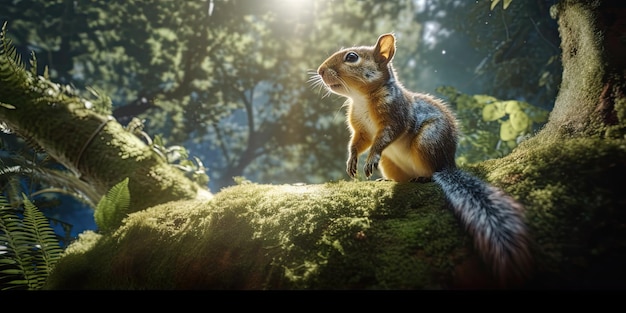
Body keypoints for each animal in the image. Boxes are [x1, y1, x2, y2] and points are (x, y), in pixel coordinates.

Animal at [314, 33, 528, 286]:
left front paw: (370, 158)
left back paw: (424, 178)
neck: (361, 98)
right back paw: (389, 181)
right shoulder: (360, 129)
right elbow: (357, 143)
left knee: (432, 171)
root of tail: (448, 163)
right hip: (392, 163)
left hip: (428, 142)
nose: (320, 70)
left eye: (351, 57)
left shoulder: (395, 116)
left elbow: (383, 140)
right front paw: (352, 160)